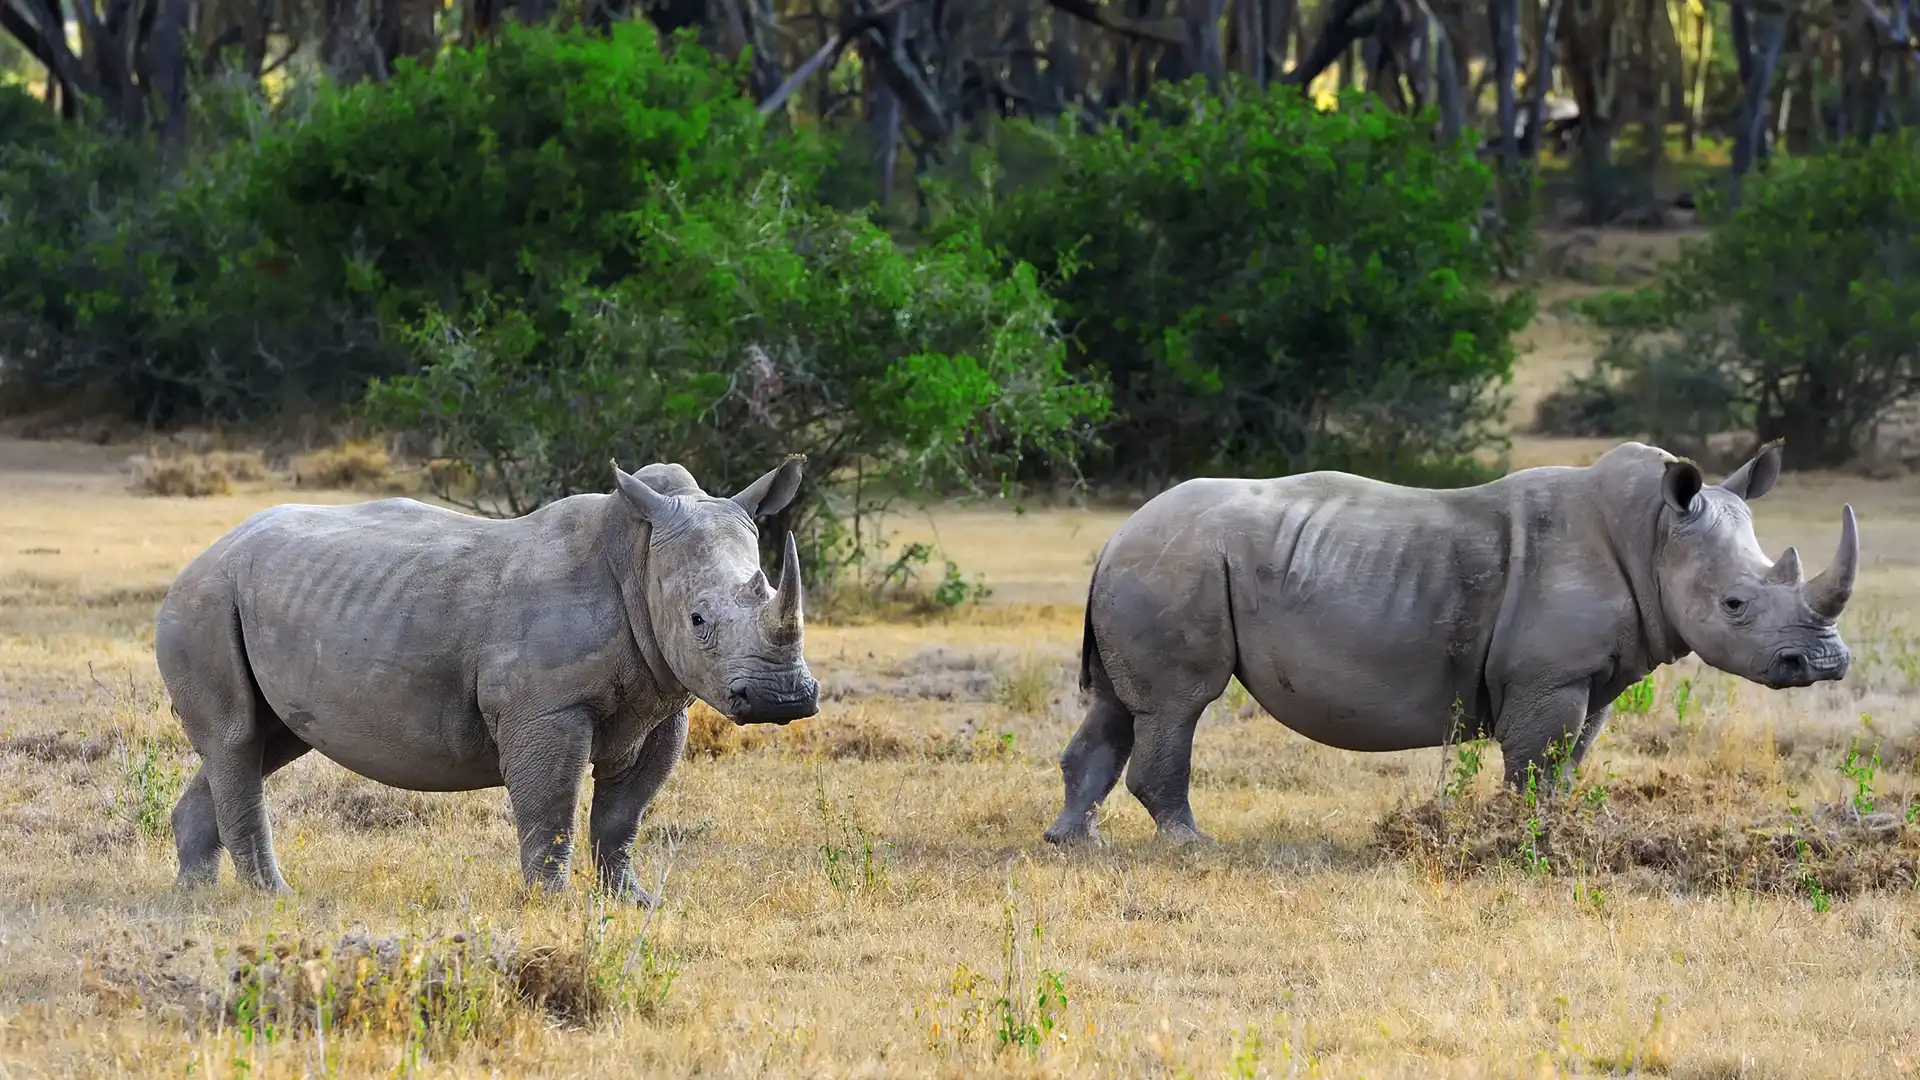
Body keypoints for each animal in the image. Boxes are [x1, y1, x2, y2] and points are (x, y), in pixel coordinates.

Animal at [157, 456, 819, 900]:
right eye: (698, 620)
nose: (782, 699)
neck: (639, 555)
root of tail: (205, 553)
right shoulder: (546, 709)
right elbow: (551, 809)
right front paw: (552, 904)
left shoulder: (662, 704)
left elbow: (621, 816)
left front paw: (632, 903)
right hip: (205, 600)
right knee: (237, 740)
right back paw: (273, 900)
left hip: (251, 598)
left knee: (263, 742)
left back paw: (196, 897)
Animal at [1044, 441, 1859, 845]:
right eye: (1735, 604)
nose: (1825, 663)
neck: (1654, 533)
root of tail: (1115, 537)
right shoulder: (1548, 675)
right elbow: (1536, 762)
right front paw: (1523, 843)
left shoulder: (1592, 677)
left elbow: (1569, 761)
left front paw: (1554, 834)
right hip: (1175, 565)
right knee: (1178, 706)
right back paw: (1190, 845)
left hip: (1151, 565)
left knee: (1119, 706)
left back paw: (1074, 844)